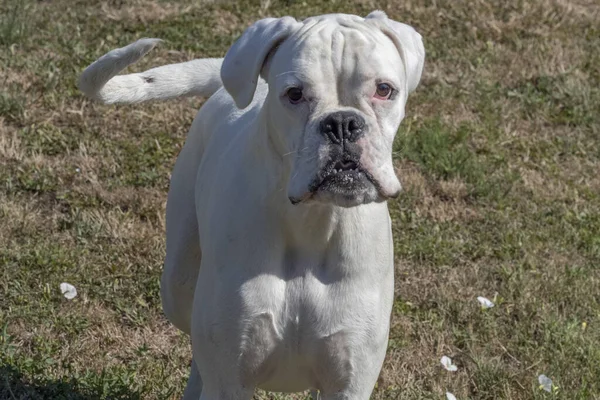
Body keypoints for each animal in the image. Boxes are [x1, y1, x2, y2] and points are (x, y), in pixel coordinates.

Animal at [79, 10, 424, 400]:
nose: (341, 123)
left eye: (384, 89)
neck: (312, 222)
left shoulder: (348, 382)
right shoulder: (231, 376)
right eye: (294, 94)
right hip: (179, 286)